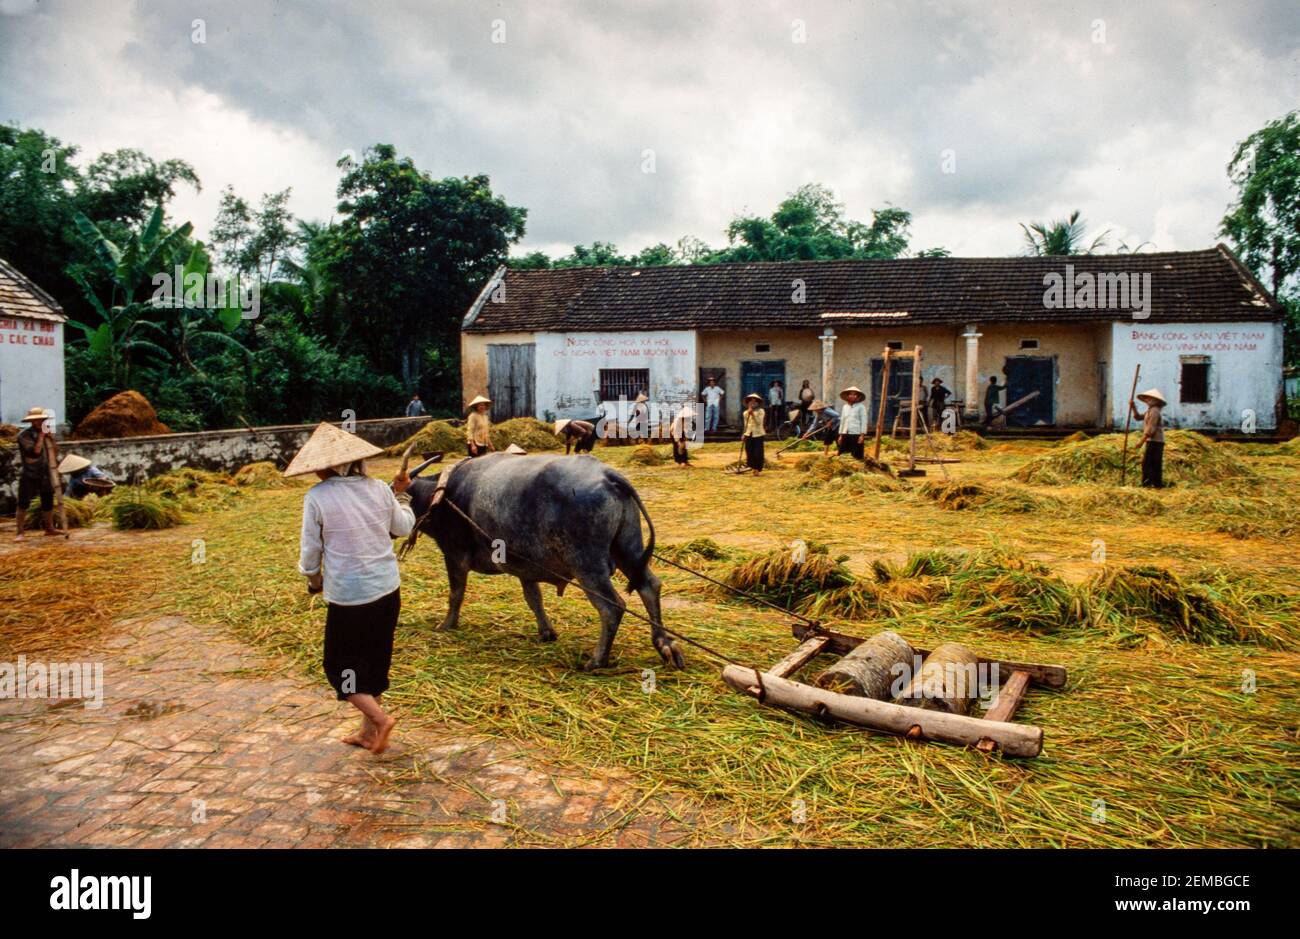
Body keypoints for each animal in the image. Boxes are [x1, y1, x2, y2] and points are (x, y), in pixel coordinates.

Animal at [405, 449, 681, 671]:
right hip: (628, 549)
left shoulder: (454, 556)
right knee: (649, 586)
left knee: (612, 607)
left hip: (587, 566)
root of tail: (607, 474)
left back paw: (596, 661)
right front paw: (546, 632)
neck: (443, 496)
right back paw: (665, 645)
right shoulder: (525, 569)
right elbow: (534, 599)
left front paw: (446, 625)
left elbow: (456, 594)